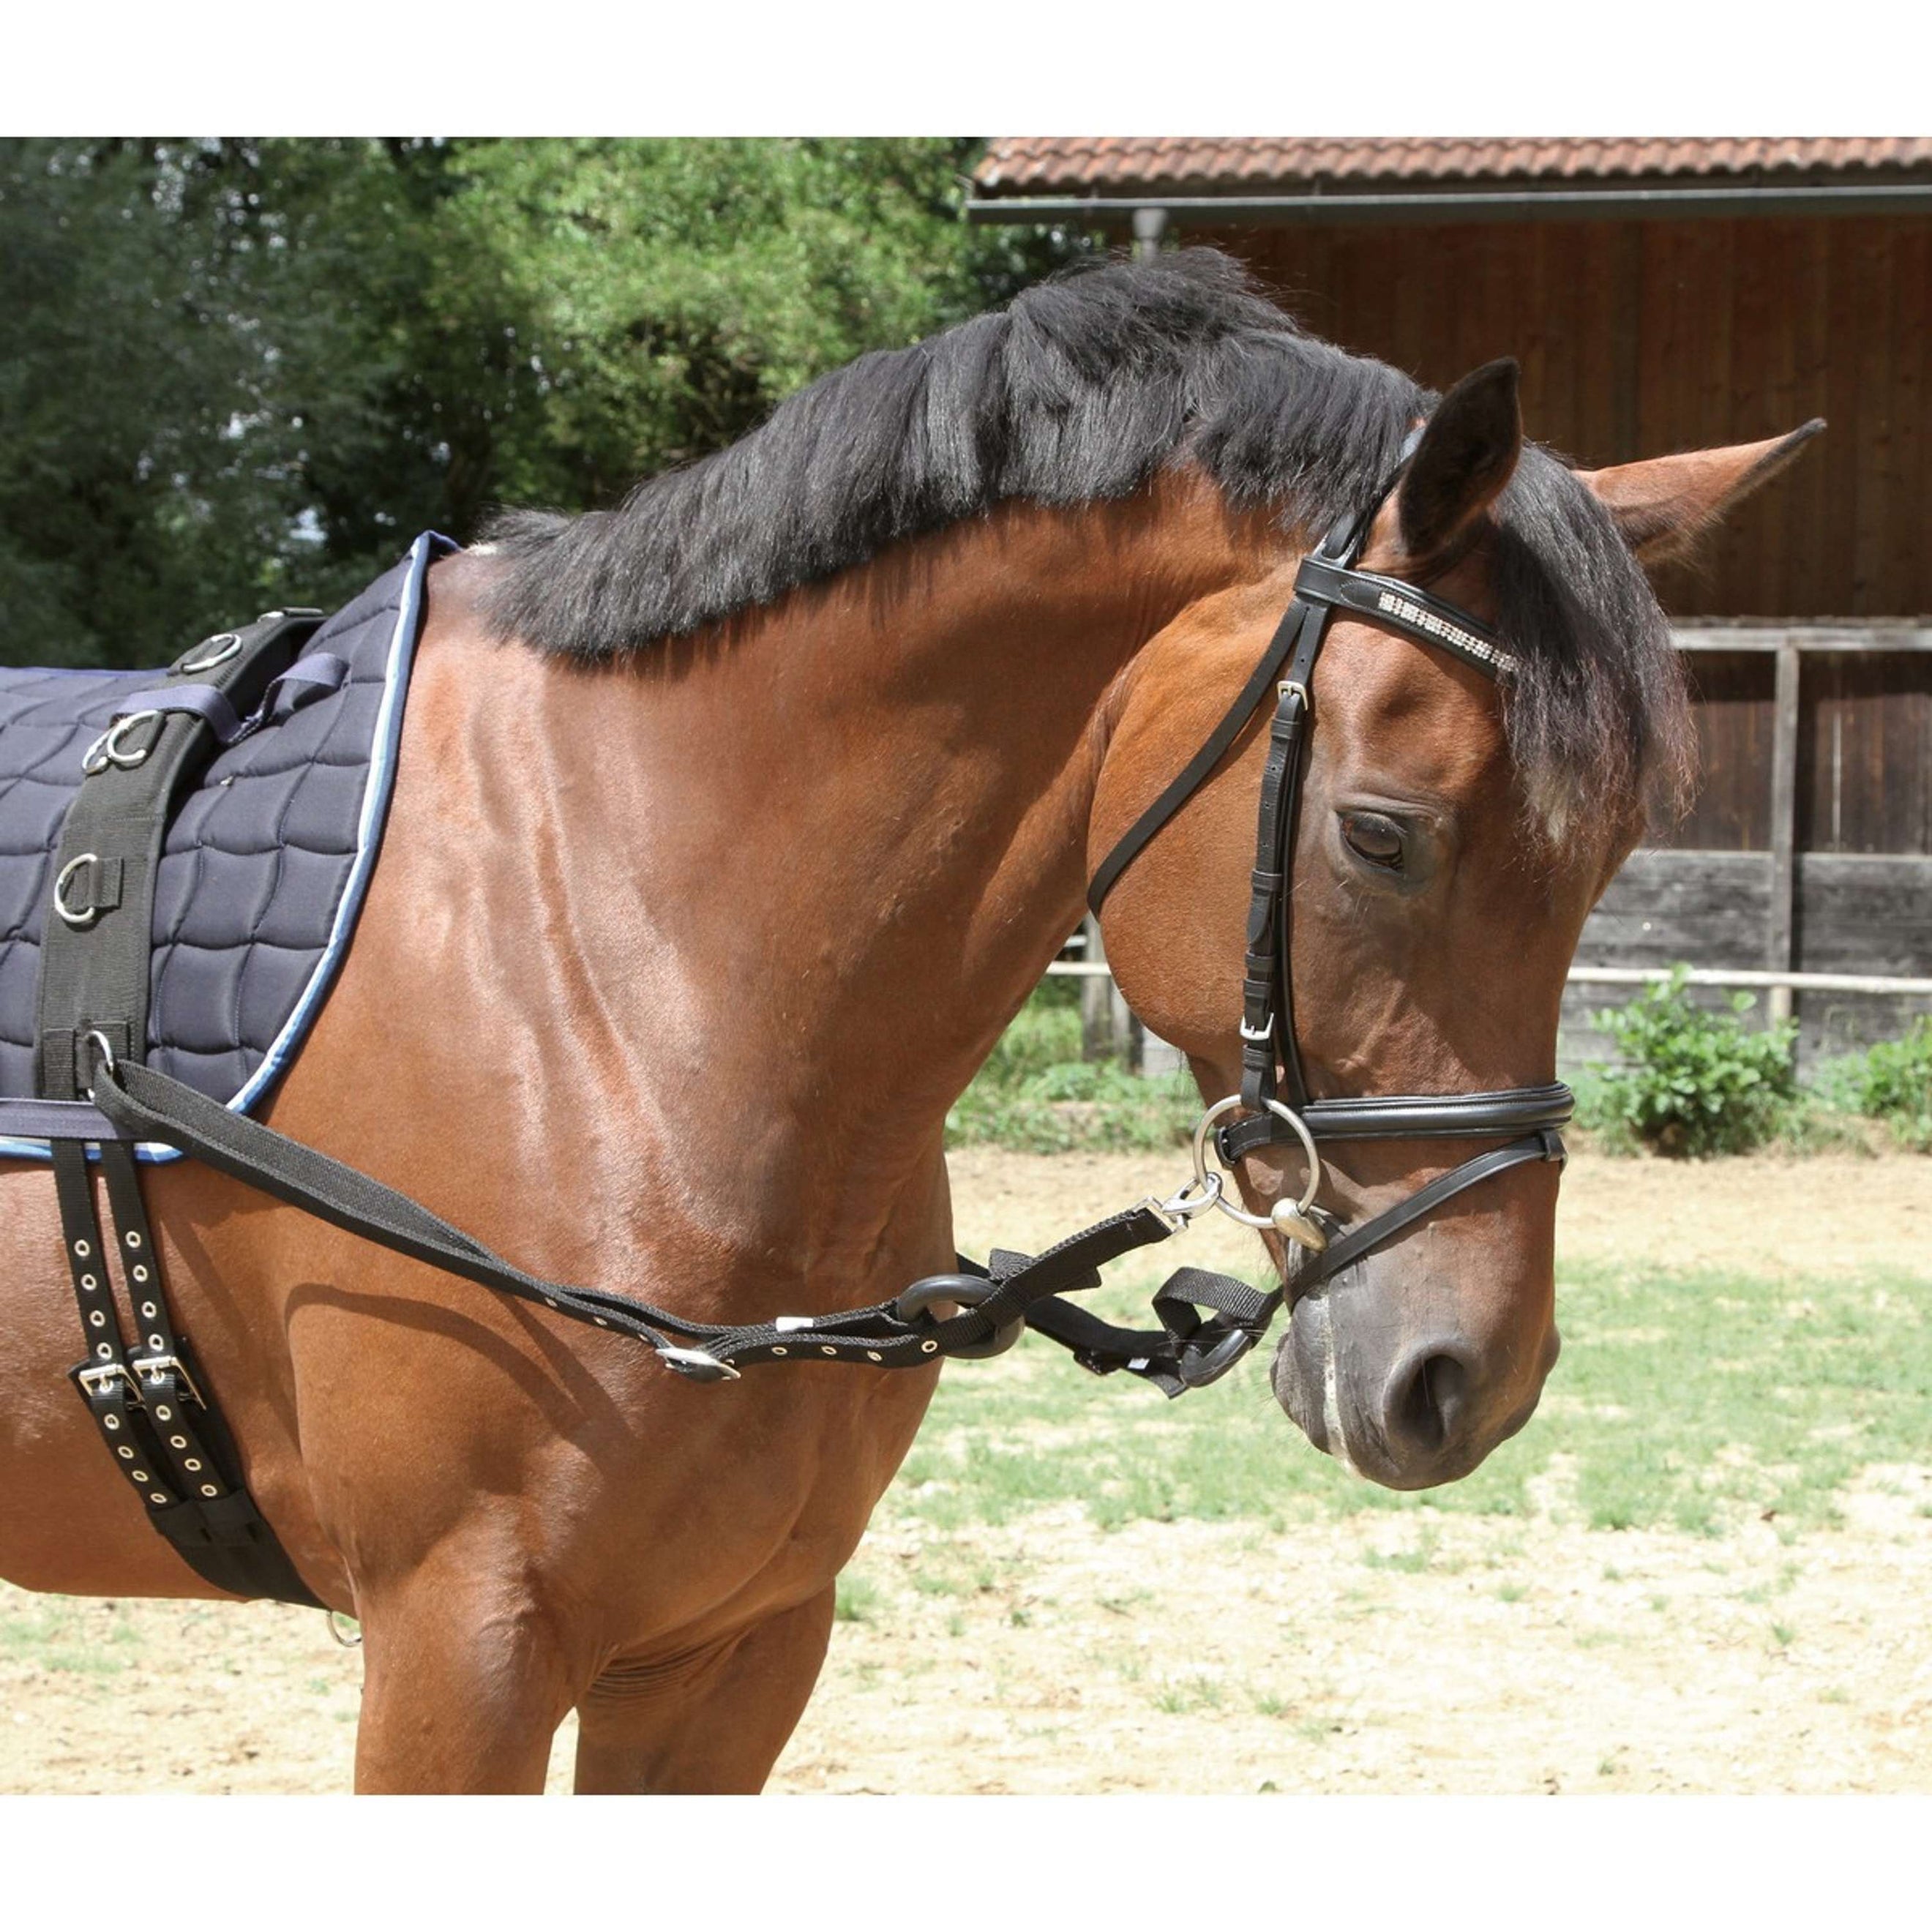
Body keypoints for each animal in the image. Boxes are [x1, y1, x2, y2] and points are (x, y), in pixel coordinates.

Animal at [0, 250, 1816, 1792]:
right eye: (1382, 833)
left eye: (1612, 855)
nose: (1467, 1383)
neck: (610, 961)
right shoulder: (462, 1647)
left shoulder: (733, 1651)